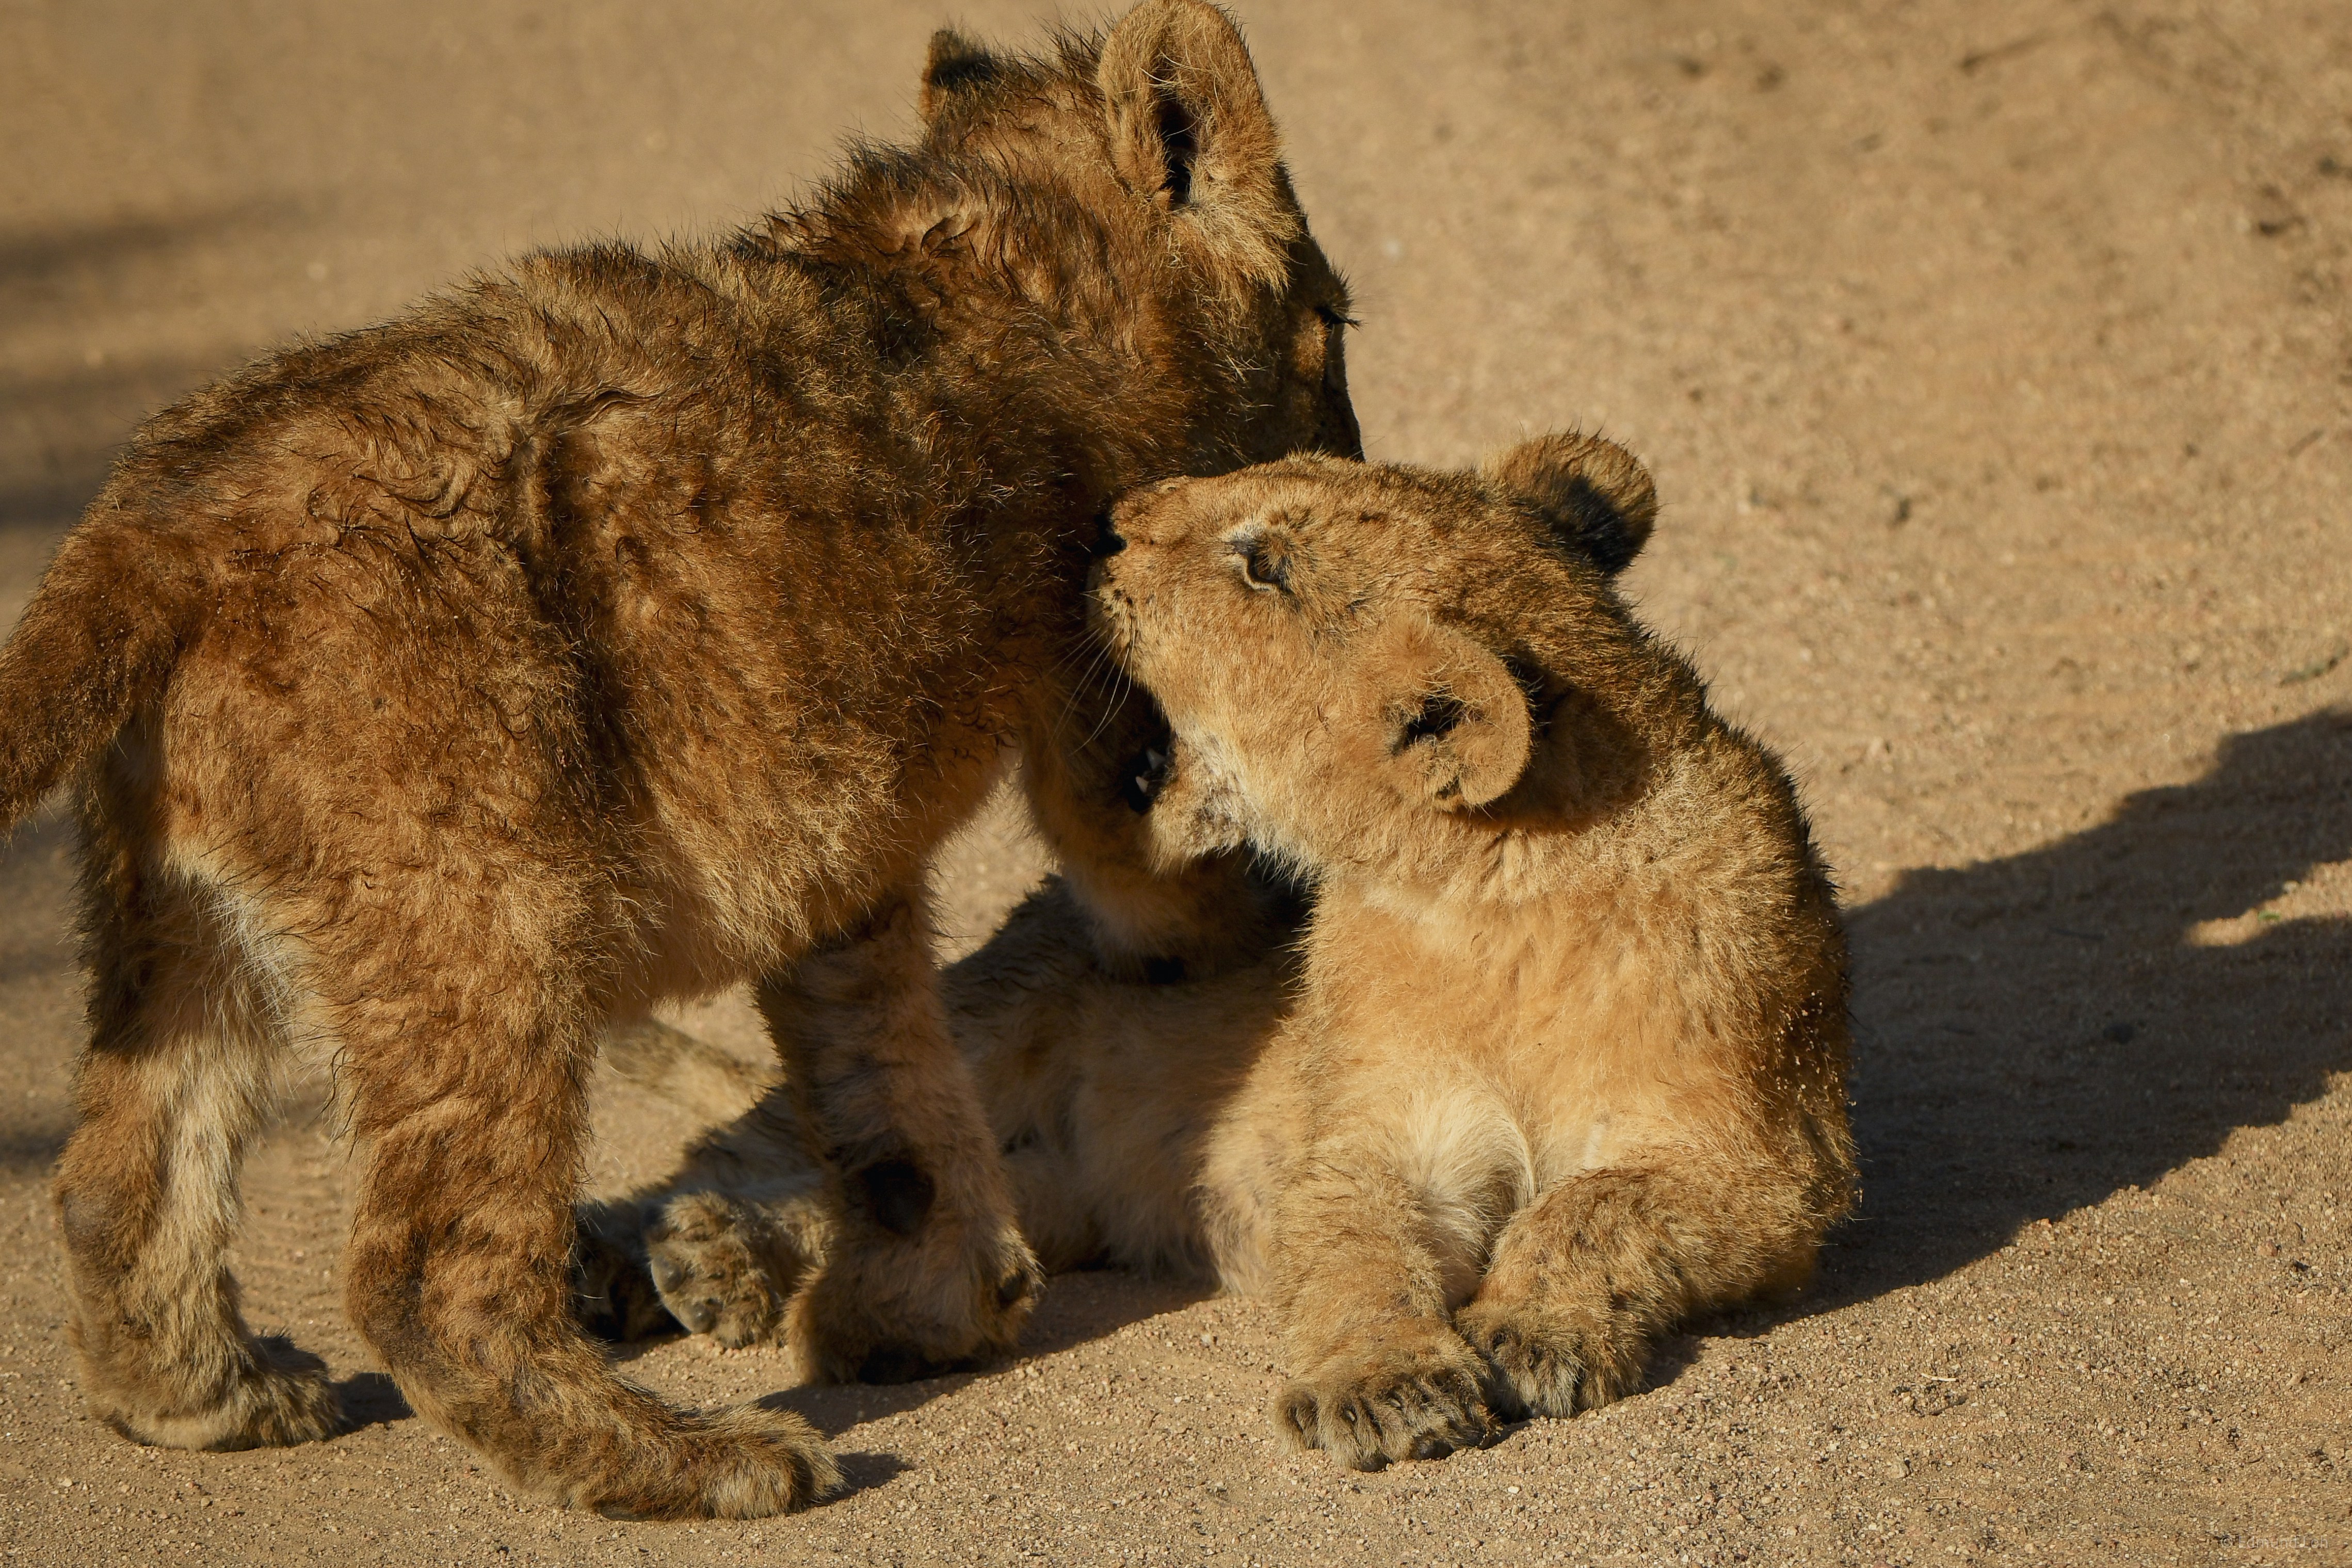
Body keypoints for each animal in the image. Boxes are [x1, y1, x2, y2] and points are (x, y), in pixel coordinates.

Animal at [0, 0, 1358, 1517]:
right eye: (1335, 321)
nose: (1355, 455)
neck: (990, 266)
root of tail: (153, 528)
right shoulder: (1101, 709)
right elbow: (1151, 891)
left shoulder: (828, 849)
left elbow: (884, 1092)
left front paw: (924, 1308)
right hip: (482, 898)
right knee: (428, 1268)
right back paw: (699, 1460)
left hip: (180, 909)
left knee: (118, 1174)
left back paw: (210, 1401)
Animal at [587, 433, 1855, 1470]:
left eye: (1264, 566)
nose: (1107, 513)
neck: (1492, 902)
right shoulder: (1371, 1132)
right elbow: (1350, 1243)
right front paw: (1381, 1387)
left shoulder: (1776, 1163)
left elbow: (1591, 1203)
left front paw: (1530, 1329)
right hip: (991, 1012)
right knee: (769, 1144)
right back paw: (664, 1255)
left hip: (1052, 1200)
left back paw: (707, 1265)